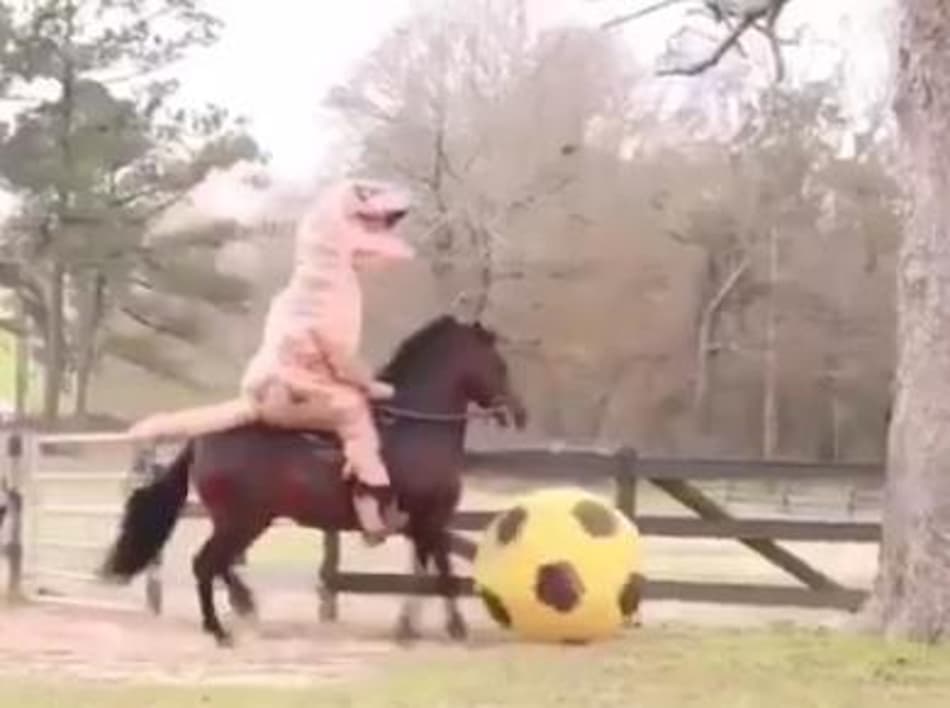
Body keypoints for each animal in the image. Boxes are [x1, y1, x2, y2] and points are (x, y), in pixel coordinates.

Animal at [100, 314, 527, 646]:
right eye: (499, 365)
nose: (519, 413)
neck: (418, 427)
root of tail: (204, 439)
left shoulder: (424, 525)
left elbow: (424, 573)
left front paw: (410, 628)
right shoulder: (432, 520)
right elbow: (442, 575)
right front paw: (450, 629)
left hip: (245, 522)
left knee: (220, 566)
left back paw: (244, 607)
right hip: (242, 522)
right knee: (206, 565)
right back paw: (221, 629)